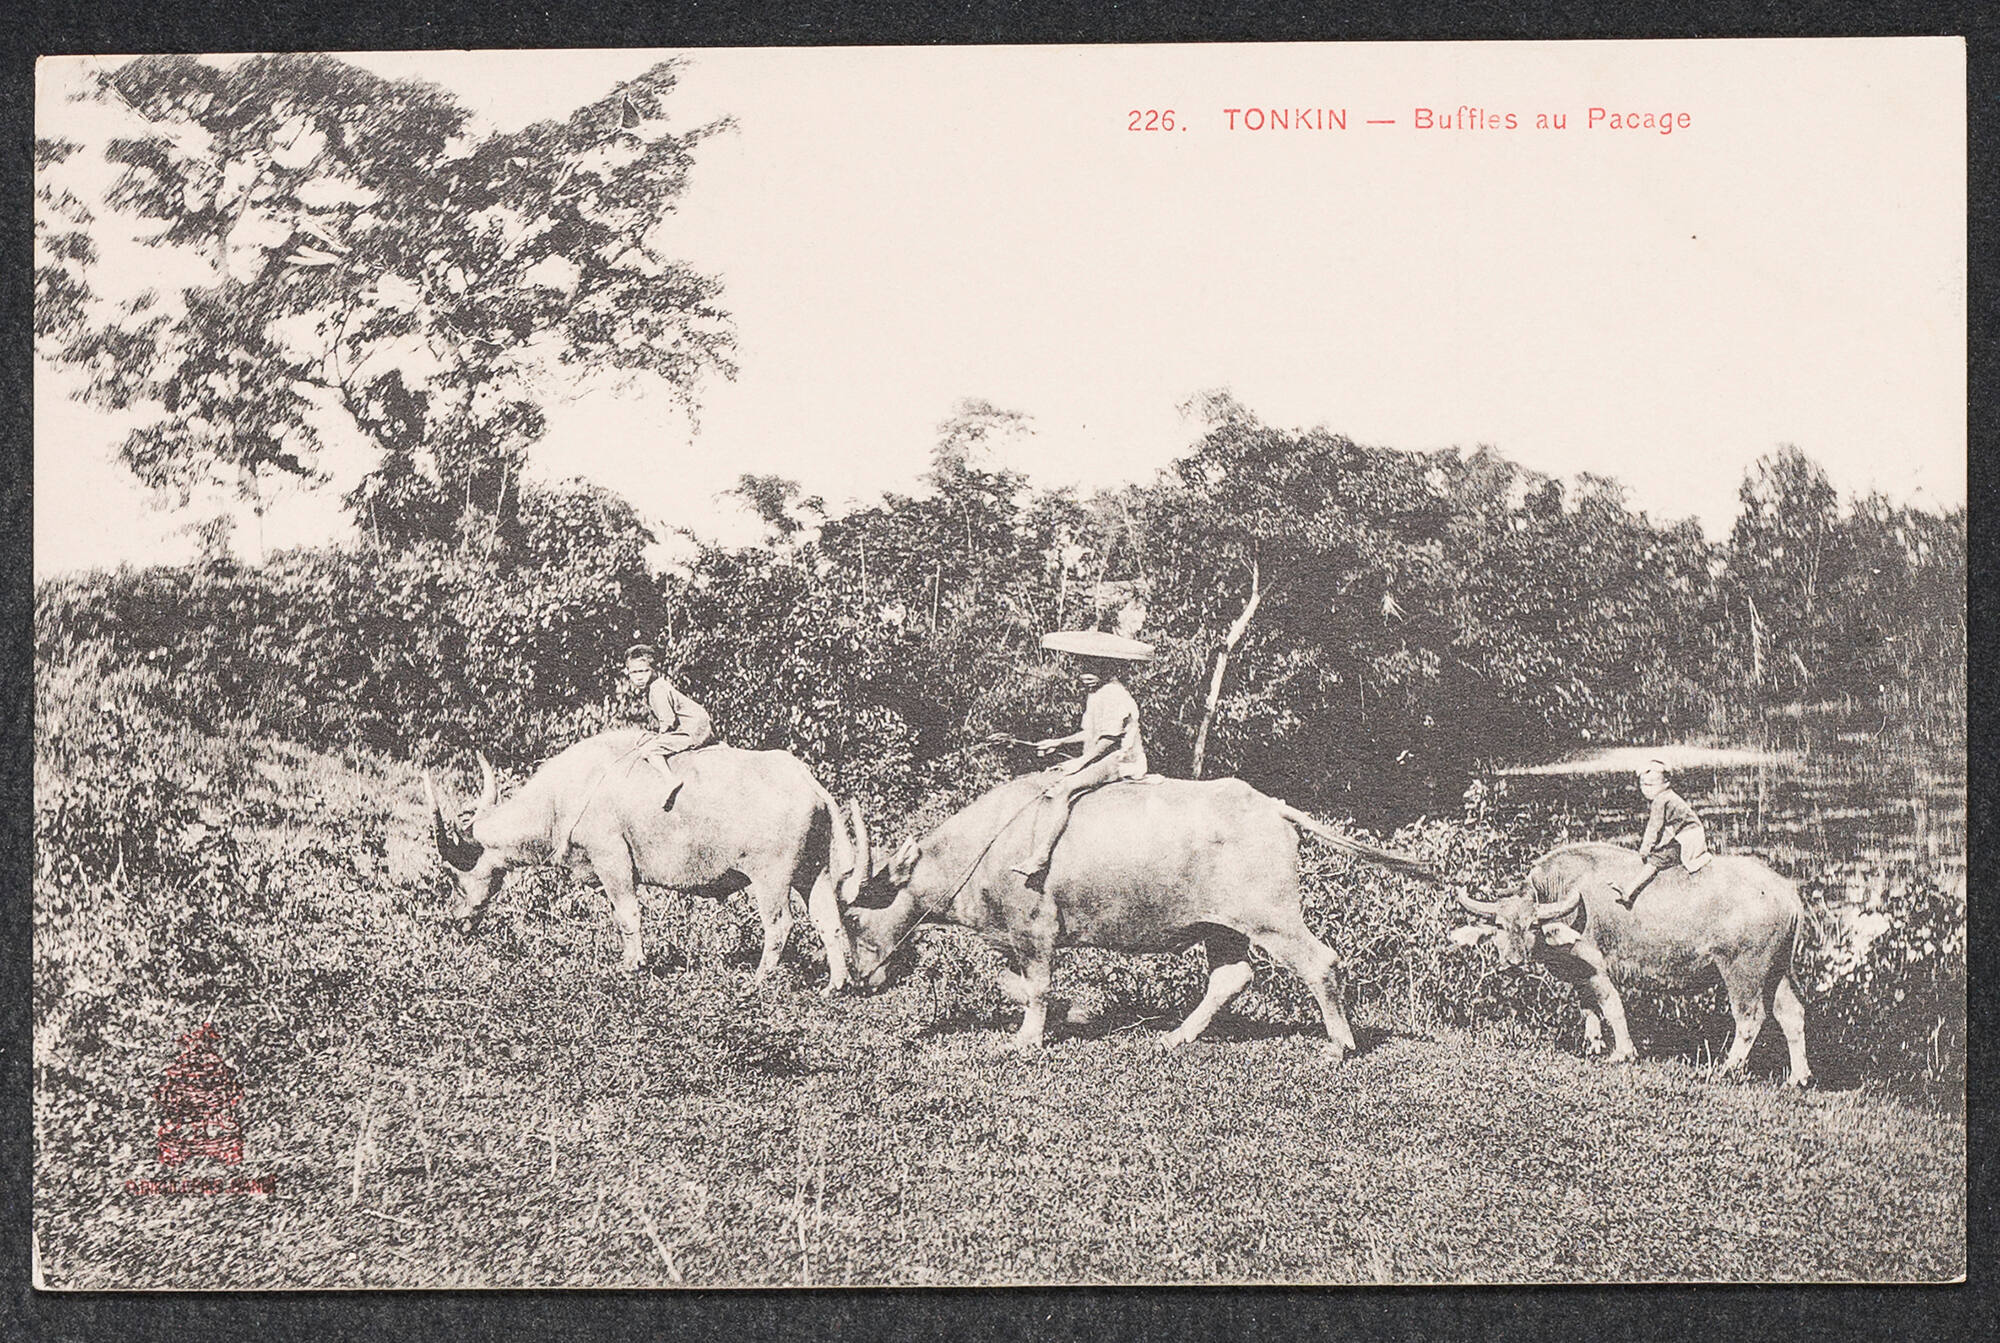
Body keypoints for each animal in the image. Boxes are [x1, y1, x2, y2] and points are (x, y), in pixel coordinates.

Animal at [426, 735, 848, 987]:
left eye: (454, 877)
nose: (456, 922)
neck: (563, 797)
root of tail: (810, 784)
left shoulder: (613, 861)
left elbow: (628, 914)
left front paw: (633, 964)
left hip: (771, 879)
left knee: (780, 924)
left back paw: (758, 979)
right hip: (814, 874)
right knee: (829, 922)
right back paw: (835, 984)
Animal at [828, 771, 1424, 1055]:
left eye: (853, 919)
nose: (857, 980)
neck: (987, 843)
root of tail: (1270, 806)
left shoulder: (1036, 933)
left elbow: (1037, 989)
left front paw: (1031, 1035)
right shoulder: (1009, 939)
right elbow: (1010, 982)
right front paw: (1074, 1011)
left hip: (1272, 918)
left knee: (1321, 962)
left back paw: (1339, 1045)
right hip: (1220, 928)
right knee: (1231, 977)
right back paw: (1175, 1037)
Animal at [1448, 843, 1824, 1087]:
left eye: (1531, 925)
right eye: (1499, 925)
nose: (1512, 963)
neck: (1565, 894)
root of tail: (1787, 891)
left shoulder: (1596, 968)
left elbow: (1612, 1006)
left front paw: (1623, 1052)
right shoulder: (1579, 974)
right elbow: (1588, 1009)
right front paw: (1594, 1045)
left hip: (1744, 971)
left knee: (1750, 1018)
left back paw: (1725, 1069)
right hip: (1778, 970)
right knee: (1792, 1014)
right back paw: (1798, 1076)